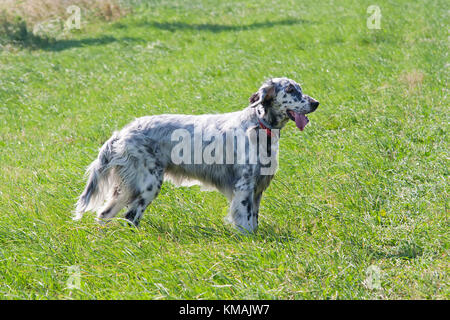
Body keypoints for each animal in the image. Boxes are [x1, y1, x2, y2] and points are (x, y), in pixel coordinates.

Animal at [75, 77, 318, 232]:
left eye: (299, 88)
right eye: (289, 90)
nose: (316, 103)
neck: (258, 126)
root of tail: (121, 133)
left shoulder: (257, 189)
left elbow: (254, 221)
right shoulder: (244, 187)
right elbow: (246, 223)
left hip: (127, 187)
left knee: (104, 214)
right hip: (148, 184)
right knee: (130, 216)